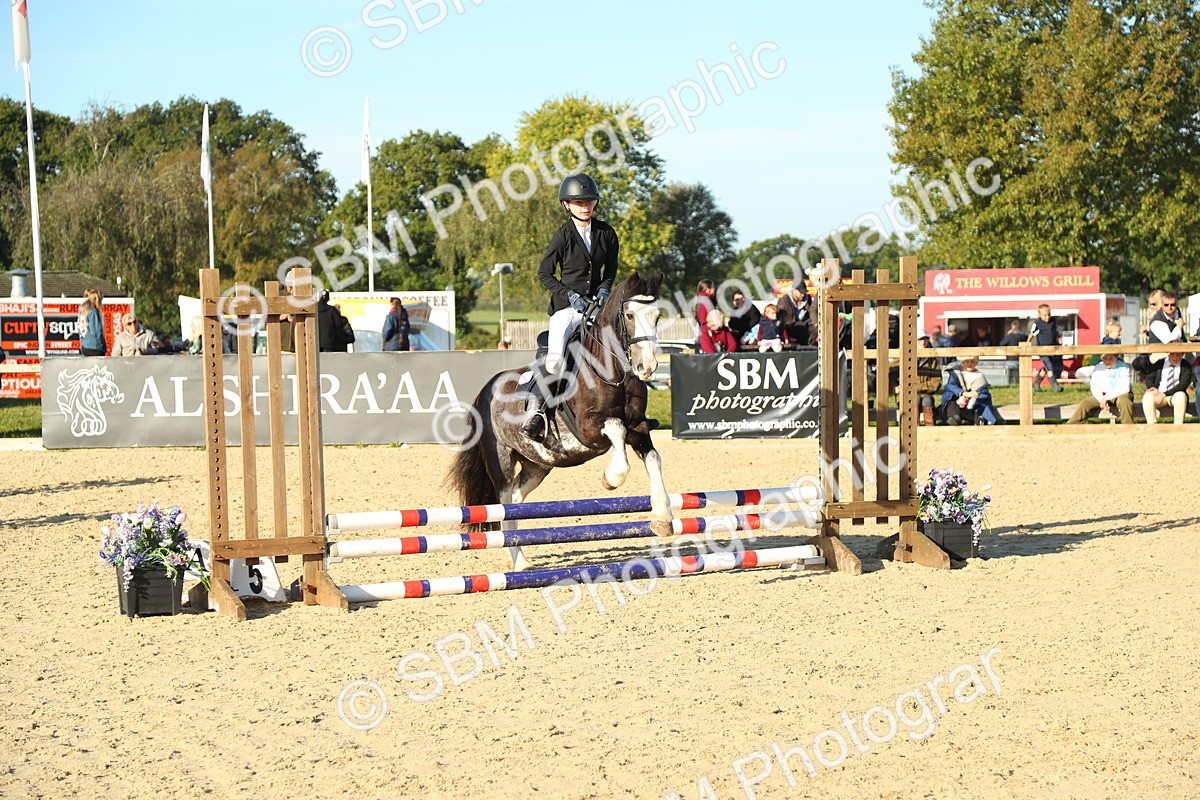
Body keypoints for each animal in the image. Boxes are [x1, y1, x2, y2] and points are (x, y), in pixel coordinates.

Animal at [449, 271, 672, 570]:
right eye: (629, 315)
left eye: (657, 315)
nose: (647, 367)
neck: (613, 371)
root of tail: (484, 391)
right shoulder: (589, 429)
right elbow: (616, 428)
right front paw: (611, 478)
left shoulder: (638, 429)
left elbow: (654, 460)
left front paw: (662, 518)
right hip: (501, 460)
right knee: (504, 503)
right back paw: (519, 562)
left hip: (538, 464)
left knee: (515, 501)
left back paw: (518, 557)